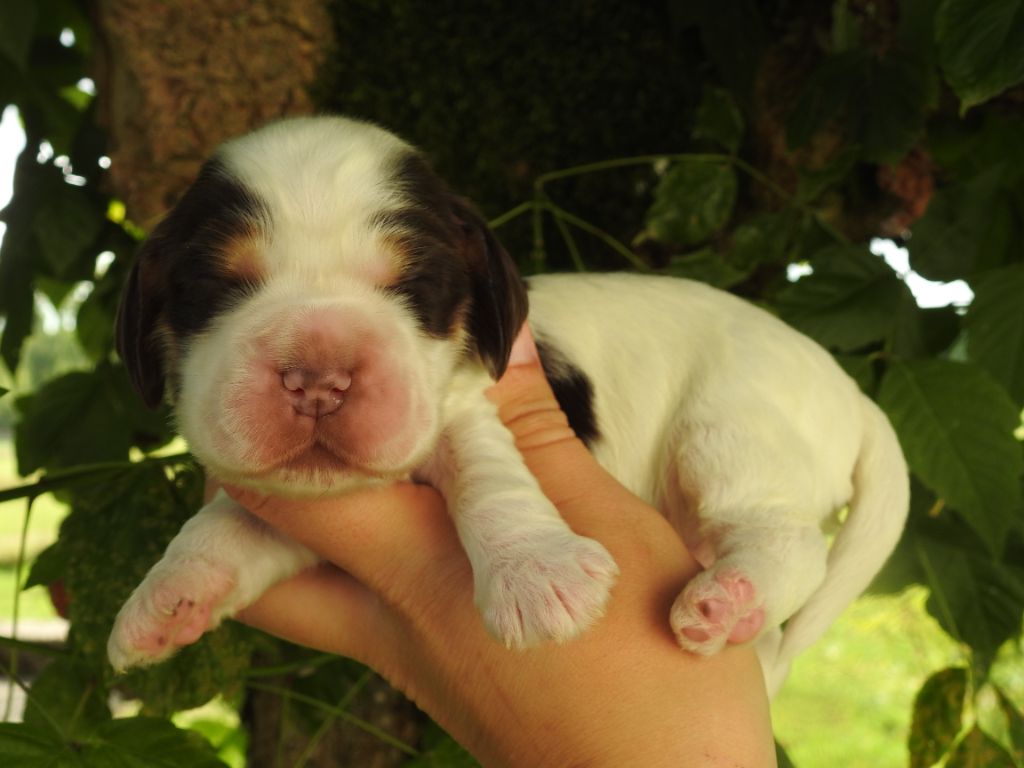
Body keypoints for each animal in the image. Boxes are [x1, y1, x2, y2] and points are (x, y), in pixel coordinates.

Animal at [110, 115, 913, 696]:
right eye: (214, 284)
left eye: (416, 287)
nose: (317, 377)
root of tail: (856, 395)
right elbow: (228, 526)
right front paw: (169, 594)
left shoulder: (467, 407)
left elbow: (487, 473)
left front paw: (535, 574)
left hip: (732, 434)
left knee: (789, 541)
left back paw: (725, 599)